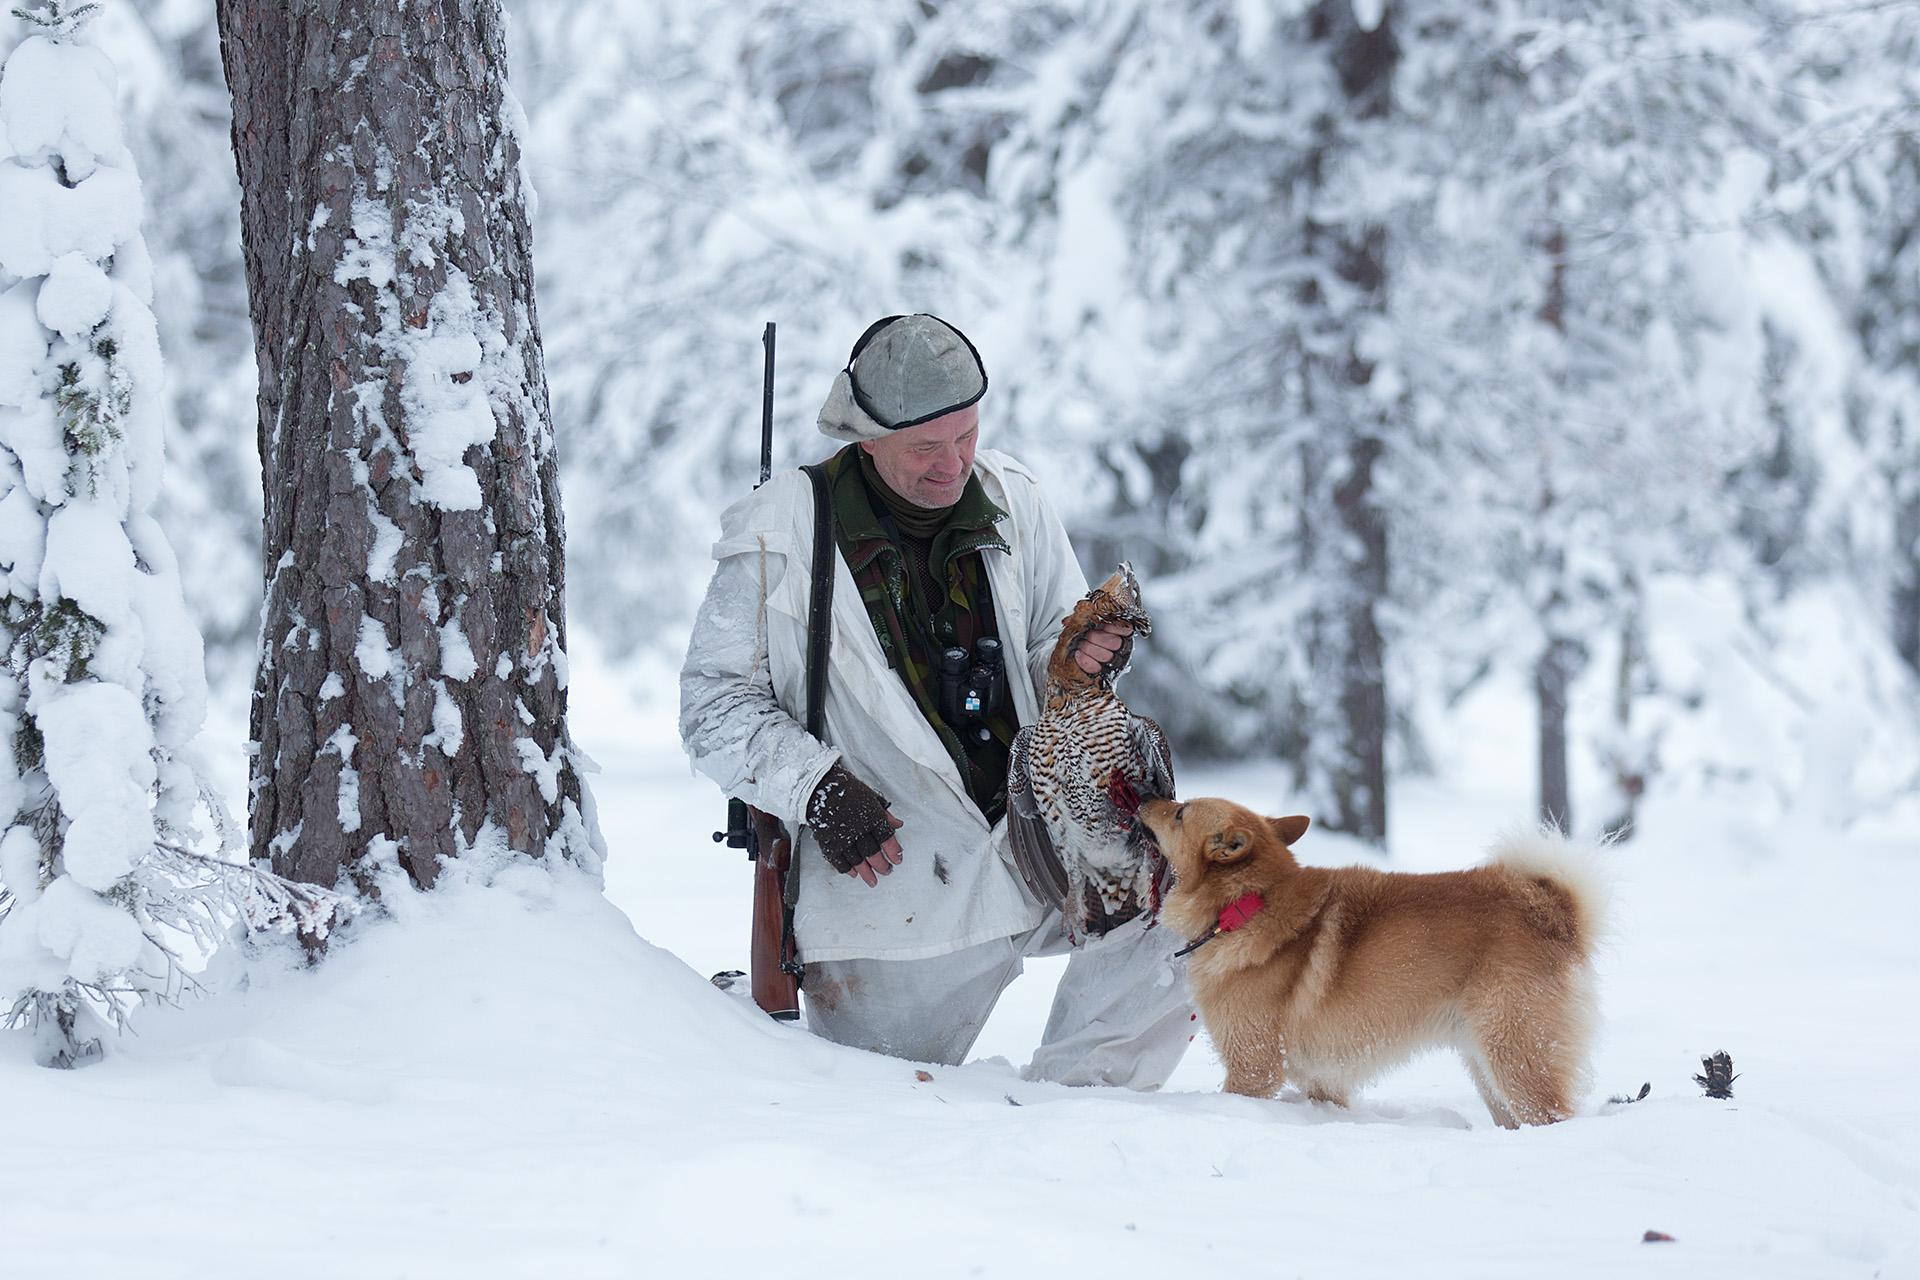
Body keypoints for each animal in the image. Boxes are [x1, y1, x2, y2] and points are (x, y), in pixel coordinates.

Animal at [1136, 802, 1605, 1128]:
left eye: (1180, 811)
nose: (1144, 800)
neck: (1247, 906)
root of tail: (1553, 912)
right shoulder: (1322, 1080)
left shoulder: (1254, 1068)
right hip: (1486, 1065)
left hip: (1516, 1058)